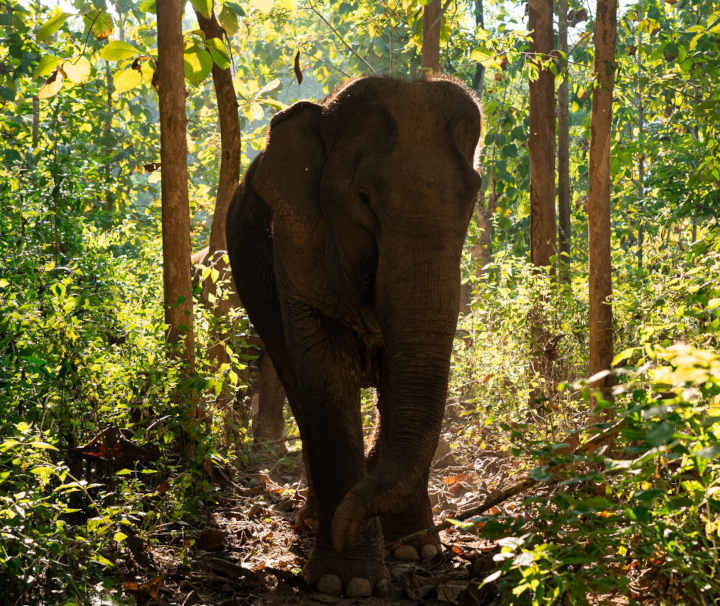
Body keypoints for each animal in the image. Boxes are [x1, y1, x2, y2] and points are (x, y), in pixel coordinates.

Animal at [226, 76, 481, 597]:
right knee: (294, 384)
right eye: (363, 197)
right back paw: (314, 519)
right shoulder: (297, 243)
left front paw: (416, 550)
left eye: (473, 196)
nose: (350, 524)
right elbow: (325, 377)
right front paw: (347, 581)